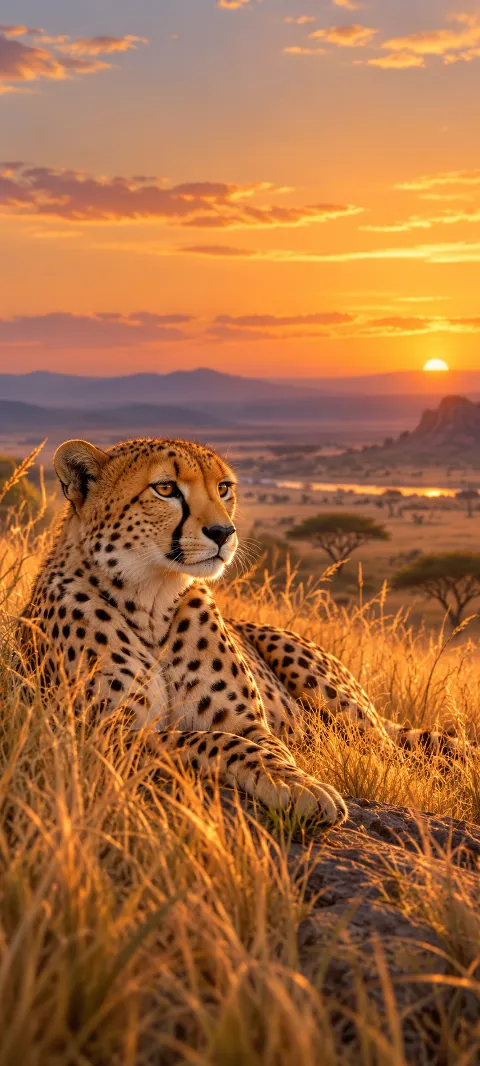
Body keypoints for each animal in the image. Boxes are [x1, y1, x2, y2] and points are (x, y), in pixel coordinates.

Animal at [21, 436, 467, 829]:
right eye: (165, 488)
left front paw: (300, 783)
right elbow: (206, 740)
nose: (224, 532)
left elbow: (264, 749)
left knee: (393, 754)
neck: (151, 601)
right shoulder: (107, 737)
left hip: (331, 697)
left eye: (223, 488)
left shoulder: (250, 724)